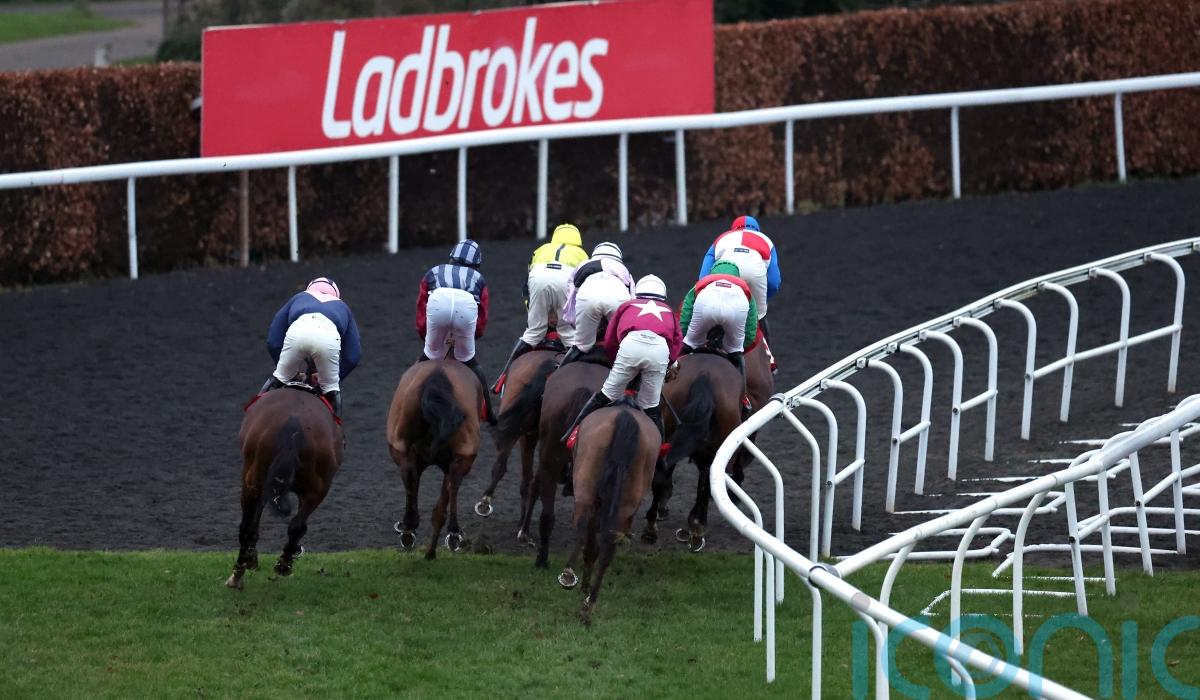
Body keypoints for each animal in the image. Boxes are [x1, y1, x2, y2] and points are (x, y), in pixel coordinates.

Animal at [226, 386, 344, 590]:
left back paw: (240, 572)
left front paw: (252, 559)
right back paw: (282, 564)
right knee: (296, 525)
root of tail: (293, 424)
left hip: (253, 482)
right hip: (317, 489)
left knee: (249, 526)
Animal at [386, 359, 482, 559]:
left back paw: (410, 526)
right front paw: (431, 550)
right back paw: (451, 531)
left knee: (410, 476)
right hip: (461, 457)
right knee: (453, 481)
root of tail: (437, 375)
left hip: (403, 449)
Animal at [556, 402, 660, 621]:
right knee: (608, 546)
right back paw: (590, 602)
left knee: (582, 527)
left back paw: (571, 577)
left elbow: (590, 544)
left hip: (585, 486)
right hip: (626, 500)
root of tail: (625, 417)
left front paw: (583, 586)